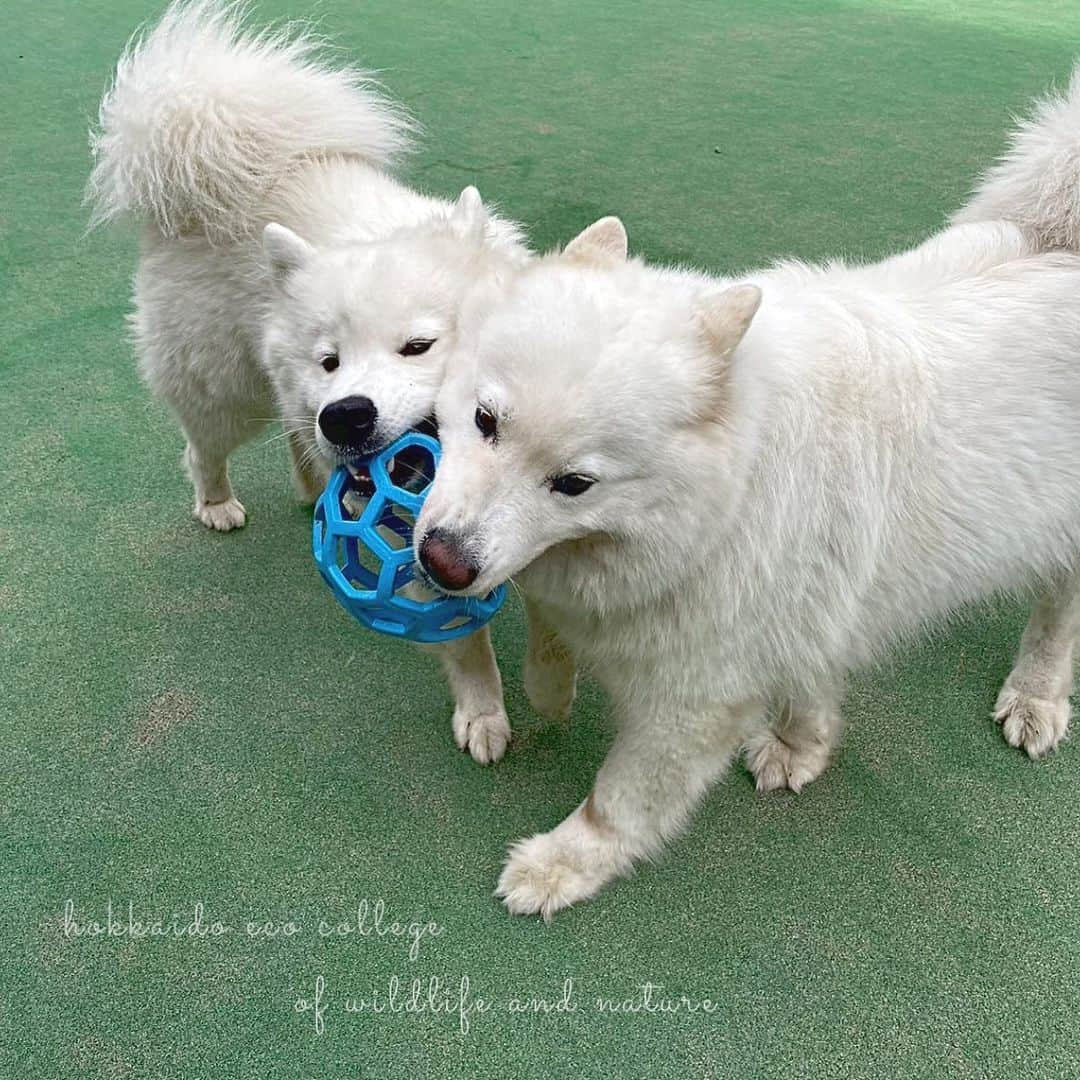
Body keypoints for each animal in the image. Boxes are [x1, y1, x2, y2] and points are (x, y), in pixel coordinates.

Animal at [88, 0, 548, 760]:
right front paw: (483, 712)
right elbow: (462, 633)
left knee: (299, 440)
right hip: (228, 391)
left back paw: (311, 487)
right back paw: (217, 501)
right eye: (330, 358)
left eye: (418, 346)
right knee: (203, 447)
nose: (348, 415)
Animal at [416, 71, 1080, 915]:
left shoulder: (693, 701)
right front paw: (552, 688)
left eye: (574, 483)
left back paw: (1037, 694)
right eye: (484, 421)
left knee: (1059, 613)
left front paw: (560, 866)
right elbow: (550, 627)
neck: (726, 495)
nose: (441, 561)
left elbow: (619, 801)